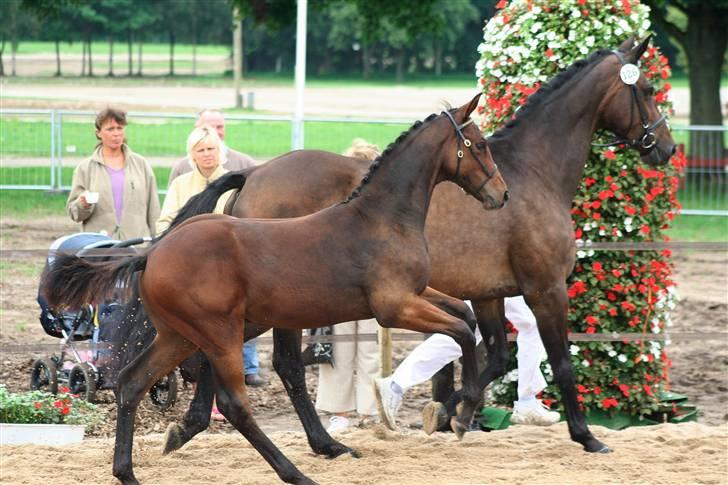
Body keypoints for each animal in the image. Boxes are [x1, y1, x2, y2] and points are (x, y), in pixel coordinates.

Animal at [144, 38, 676, 458]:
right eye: (648, 90)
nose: (666, 148)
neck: (532, 173)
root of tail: (253, 173)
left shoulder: (489, 293)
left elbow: (493, 354)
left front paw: (451, 411)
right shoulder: (545, 289)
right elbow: (560, 362)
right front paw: (585, 436)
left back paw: (194, 430)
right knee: (281, 365)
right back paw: (319, 442)